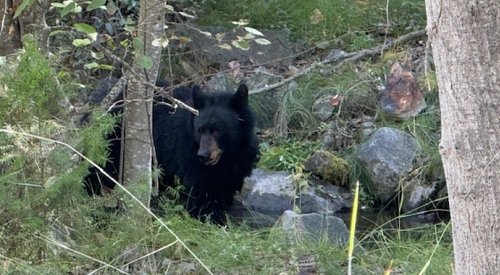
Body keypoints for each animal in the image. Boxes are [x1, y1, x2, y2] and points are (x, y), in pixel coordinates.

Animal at [82, 83, 260, 224]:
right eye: (200, 130)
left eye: (218, 131)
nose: (203, 155)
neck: (227, 157)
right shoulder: (188, 158)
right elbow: (199, 192)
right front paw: (210, 217)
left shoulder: (240, 162)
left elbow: (224, 189)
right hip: (110, 142)